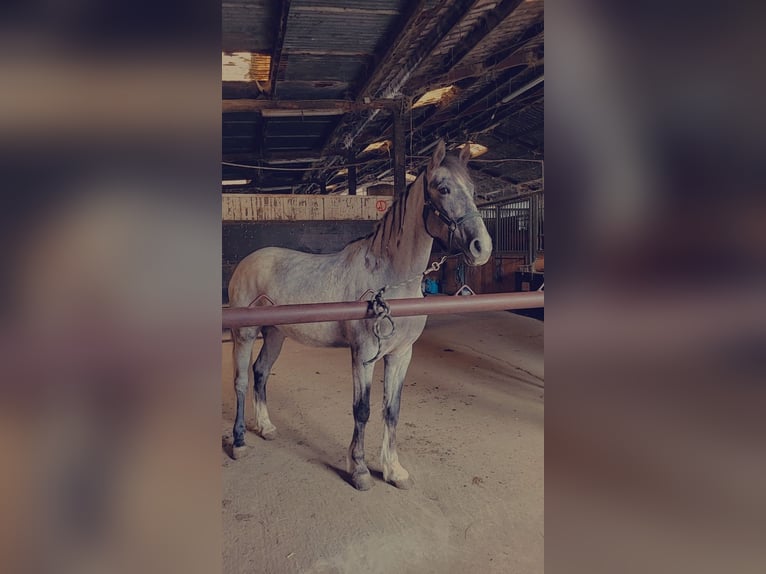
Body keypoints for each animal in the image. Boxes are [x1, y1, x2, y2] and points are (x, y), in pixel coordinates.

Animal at [226, 142, 492, 492]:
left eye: (473, 190)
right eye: (444, 188)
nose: (482, 248)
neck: (390, 279)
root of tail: (246, 263)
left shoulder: (400, 355)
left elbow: (391, 409)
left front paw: (394, 471)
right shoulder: (363, 355)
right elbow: (362, 409)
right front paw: (360, 471)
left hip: (276, 333)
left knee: (260, 372)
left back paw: (267, 427)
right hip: (244, 334)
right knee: (242, 381)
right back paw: (239, 442)